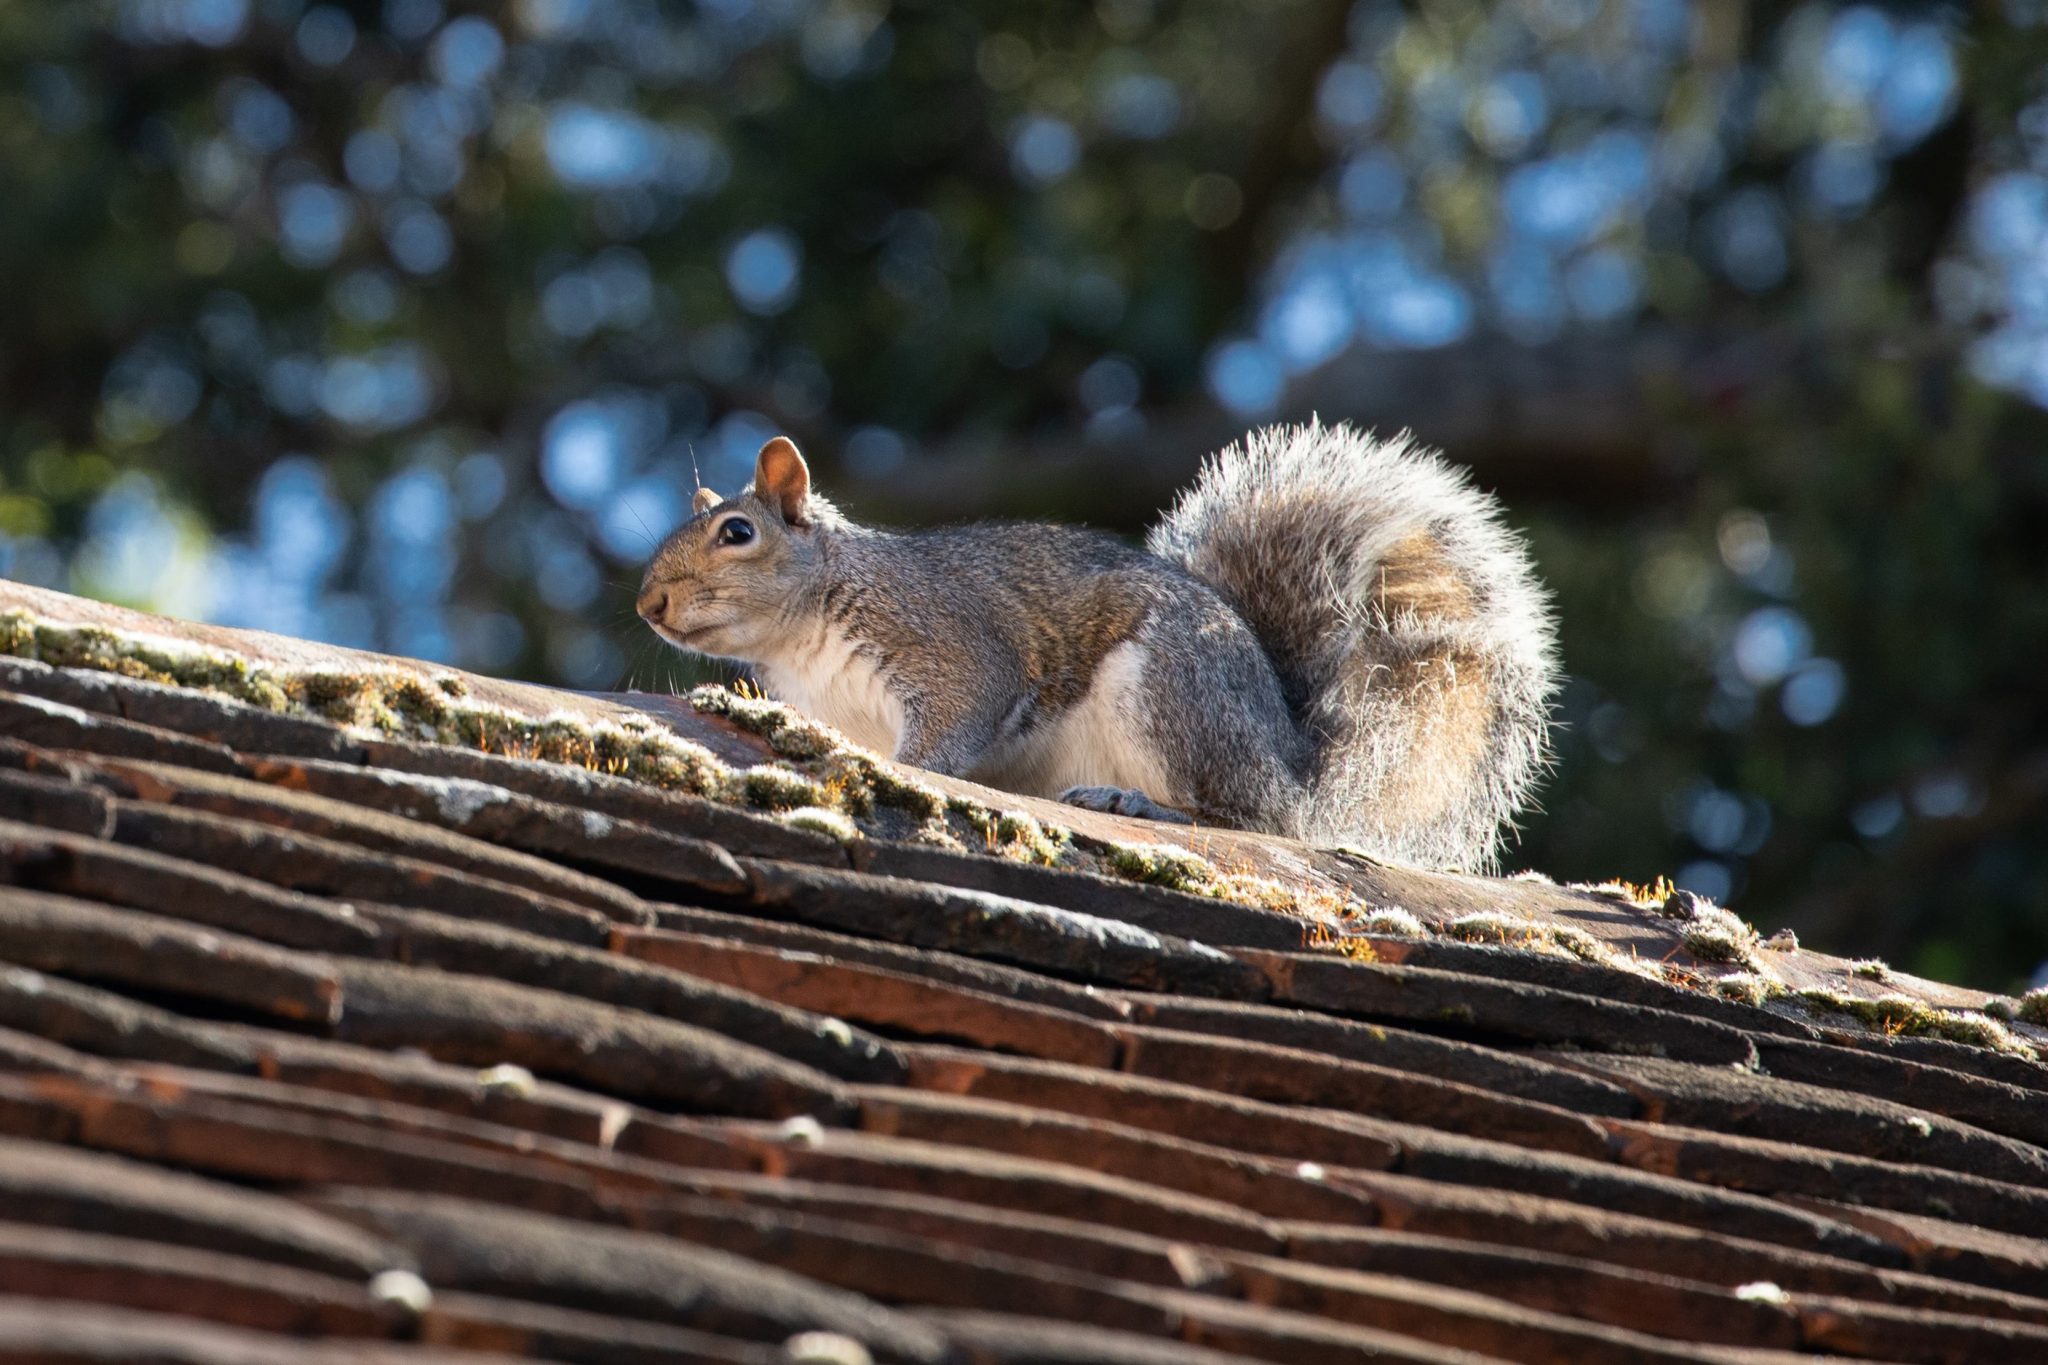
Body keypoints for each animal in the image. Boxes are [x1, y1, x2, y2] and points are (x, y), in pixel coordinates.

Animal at [638, 421, 1548, 871]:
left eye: (737, 532)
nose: (649, 602)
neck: (805, 634)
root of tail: (1292, 758)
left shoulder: (950, 645)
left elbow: (954, 727)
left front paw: (914, 770)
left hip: (1172, 695)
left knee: (1254, 817)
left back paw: (1141, 803)